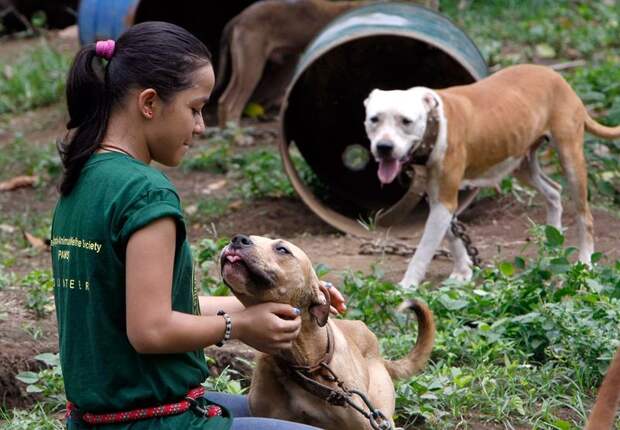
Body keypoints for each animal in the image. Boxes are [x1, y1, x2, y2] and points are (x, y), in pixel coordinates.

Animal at [364, 63, 620, 288]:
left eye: (406, 121)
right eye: (374, 119)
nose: (384, 147)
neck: (433, 123)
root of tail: (557, 76)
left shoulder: (444, 199)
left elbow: (424, 250)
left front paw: (406, 286)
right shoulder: (439, 198)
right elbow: (453, 235)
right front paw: (463, 271)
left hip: (570, 159)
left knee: (584, 215)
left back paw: (585, 262)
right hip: (520, 163)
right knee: (554, 191)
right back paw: (552, 245)